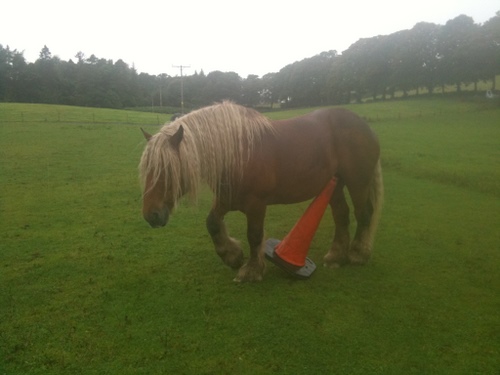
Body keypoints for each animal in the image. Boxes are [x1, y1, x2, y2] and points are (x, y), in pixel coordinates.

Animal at [139, 101, 384, 284]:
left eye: (166, 169)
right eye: (146, 170)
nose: (151, 215)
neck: (237, 153)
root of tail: (364, 126)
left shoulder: (256, 205)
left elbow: (255, 235)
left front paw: (252, 270)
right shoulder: (226, 200)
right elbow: (212, 223)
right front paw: (232, 256)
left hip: (357, 182)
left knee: (363, 214)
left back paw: (357, 254)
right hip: (333, 185)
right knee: (342, 215)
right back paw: (336, 257)